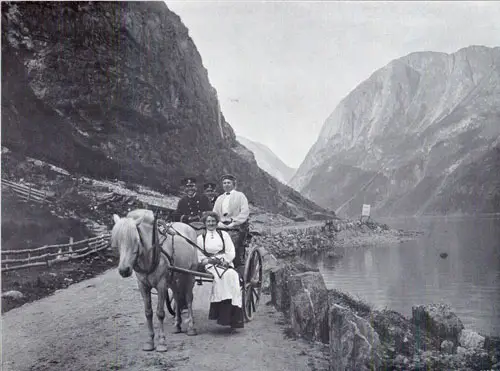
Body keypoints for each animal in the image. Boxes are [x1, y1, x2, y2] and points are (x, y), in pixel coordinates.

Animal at [111, 209, 199, 352]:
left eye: (135, 240)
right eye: (117, 242)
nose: (124, 270)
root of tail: (187, 226)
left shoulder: (161, 284)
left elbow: (160, 313)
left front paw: (162, 342)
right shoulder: (143, 286)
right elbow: (148, 313)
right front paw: (150, 341)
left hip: (189, 275)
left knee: (189, 299)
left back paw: (191, 327)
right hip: (174, 278)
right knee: (177, 297)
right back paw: (177, 325)